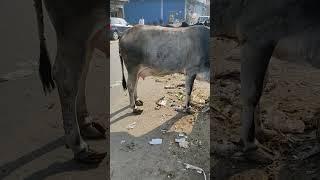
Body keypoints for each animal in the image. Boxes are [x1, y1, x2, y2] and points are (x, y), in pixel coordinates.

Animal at [33, 0, 107, 163]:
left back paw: (86, 125)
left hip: (85, 34)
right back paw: (79, 147)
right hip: (75, 26)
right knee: (66, 78)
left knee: (82, 70)